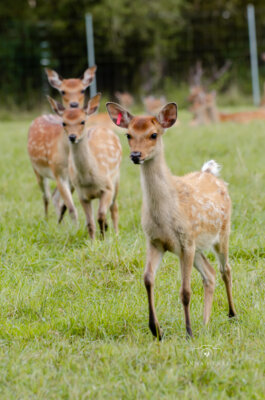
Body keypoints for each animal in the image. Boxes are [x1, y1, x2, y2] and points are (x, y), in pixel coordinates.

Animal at [27, 66, 97, 222]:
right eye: (63, 91)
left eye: (82, 90)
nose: (74, 105)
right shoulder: (57, 172)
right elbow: (71, 208)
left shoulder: (72, 178)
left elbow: (67, 205)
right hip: (36, 169)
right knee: (46, 195)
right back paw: (47, 219)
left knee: (54, 197)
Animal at [48, 94, 121, 238]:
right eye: (63, 123)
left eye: (82, 121)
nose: (72, 137)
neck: (89, 179)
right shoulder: (82, 194)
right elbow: (90, 224)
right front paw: (94, 240)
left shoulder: (107, 187)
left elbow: (101, 215)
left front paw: (103, 237)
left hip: (116, 180)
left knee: (114, 208)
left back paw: (116, 234)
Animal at [106, 101, 236, 340]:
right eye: (128, 135)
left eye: (153, 134)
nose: (136, 155)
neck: (164, 216)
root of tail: (211, 173)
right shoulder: (155, 241)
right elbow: (147, 279)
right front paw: (155, 330)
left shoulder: (185, 241)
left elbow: (185, 291)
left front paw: (188, 332)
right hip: (197, 246)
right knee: (210, 274)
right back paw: (205, 323)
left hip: (222, 232)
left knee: (225, 269)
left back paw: (231, 314)